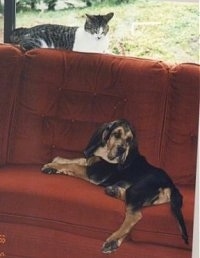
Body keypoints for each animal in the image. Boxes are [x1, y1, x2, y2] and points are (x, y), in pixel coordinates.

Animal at [41, 119, 188, 254]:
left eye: (129, 140)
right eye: (116, 134)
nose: (122, 150)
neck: (105, 153)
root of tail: (171, 185)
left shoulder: (95, 174)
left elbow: (73, 165)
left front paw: (52, 166)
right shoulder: (91, 162)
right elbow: (77, 160)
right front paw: (56, 162)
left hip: (136, 189)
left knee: (134, 216)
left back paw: (112, 240)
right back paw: (114, 192)